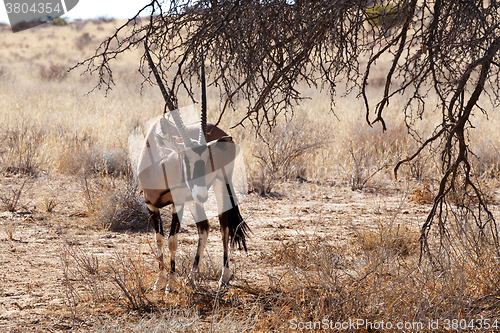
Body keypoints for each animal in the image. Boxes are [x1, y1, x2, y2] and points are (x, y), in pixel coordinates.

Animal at [138, 44, 249, 290]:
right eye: (184, 159)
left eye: (207, 161)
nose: (201, 191)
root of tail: (221, 132)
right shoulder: (151, 205)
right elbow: (159, 239)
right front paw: (159, 280)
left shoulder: (177, 203)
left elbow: (172, 240)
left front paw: (170, 283)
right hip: (194, 200)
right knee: (204, 227)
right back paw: (191, 276)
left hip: (219, 186)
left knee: (224, 226)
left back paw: (223, 277)